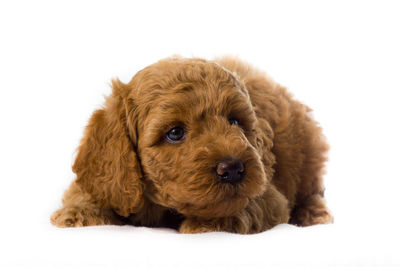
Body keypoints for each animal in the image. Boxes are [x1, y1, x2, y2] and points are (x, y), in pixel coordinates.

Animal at [50, 57, 332, 234]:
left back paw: (314, 214)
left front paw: (213, 222)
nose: (232, 168)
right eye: (175, 133)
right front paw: (77, 213)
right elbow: (97, 189)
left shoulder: (270, 196)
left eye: (235, 121)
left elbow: (246, 205)